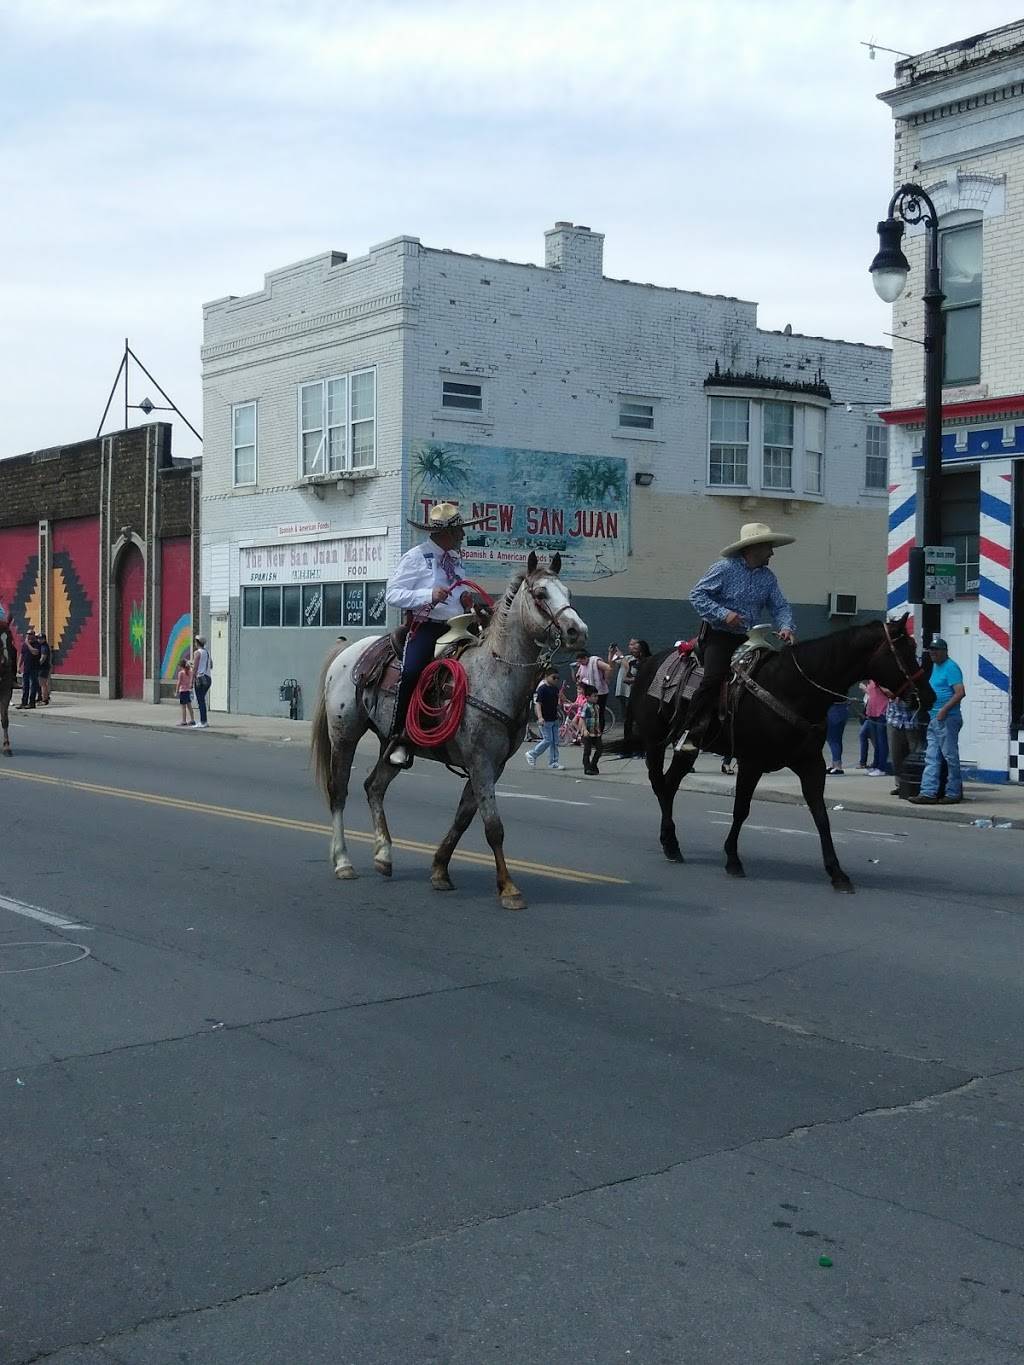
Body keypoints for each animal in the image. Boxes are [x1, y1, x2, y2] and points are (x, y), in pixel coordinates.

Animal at [614, 614, 933, 889]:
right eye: (903, 650)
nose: (927, 697)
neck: (792, 688)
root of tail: (649, 662)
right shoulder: (751, 762)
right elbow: (741, 810)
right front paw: (733, 859)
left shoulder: (811, 764)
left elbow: (821, 815)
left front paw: (837, 872)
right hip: (655, 742)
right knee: (660, 784)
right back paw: (669, 843)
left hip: (686, 748)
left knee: (669, 786)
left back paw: (671, 843)